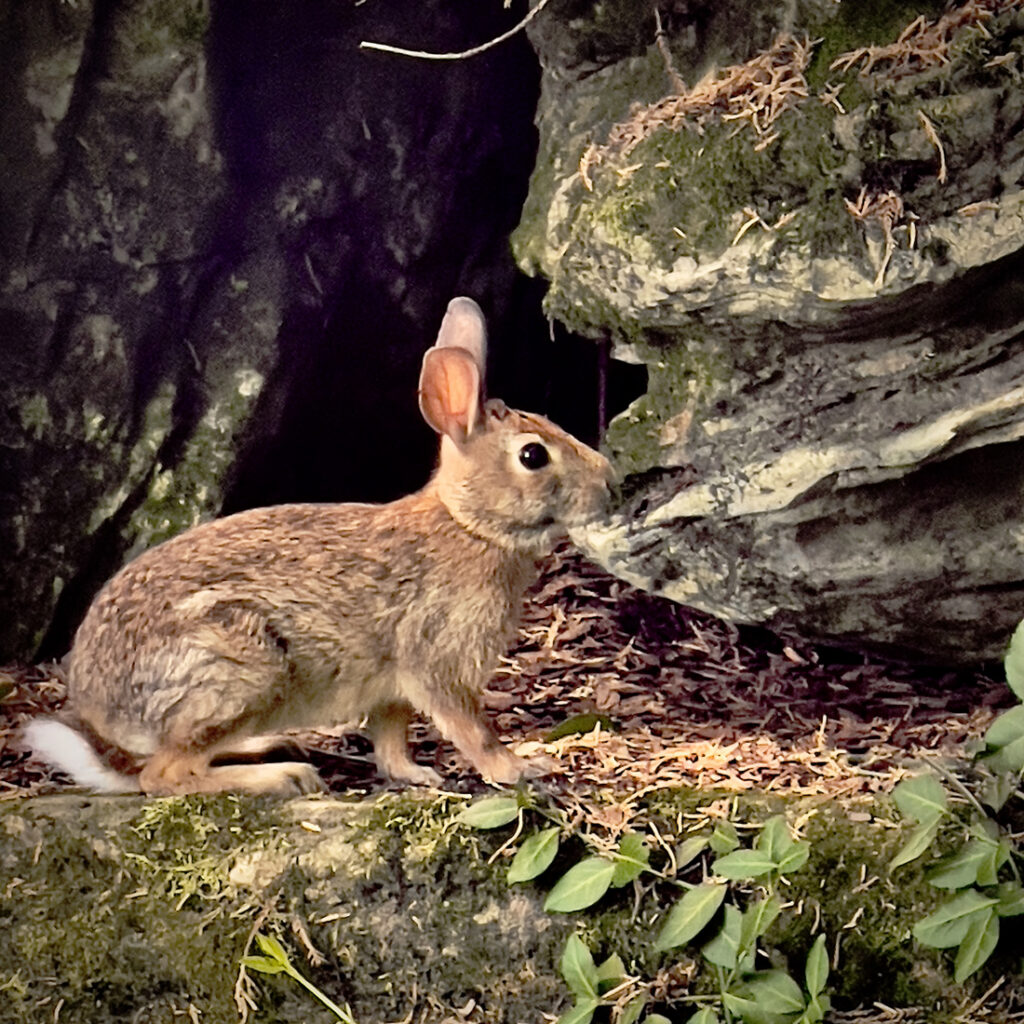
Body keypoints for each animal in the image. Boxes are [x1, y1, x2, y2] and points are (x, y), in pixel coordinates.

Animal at [25, 297, 614, 796]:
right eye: (533, 456)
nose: (608, 484)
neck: (469, 524)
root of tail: (105, 712)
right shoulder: (435, 659)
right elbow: (471, 728)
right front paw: (519, 769)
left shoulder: (392, 687)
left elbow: (390, 737)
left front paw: (415, 775)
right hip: (238, 667)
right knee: (163, 777)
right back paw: (279, 777)